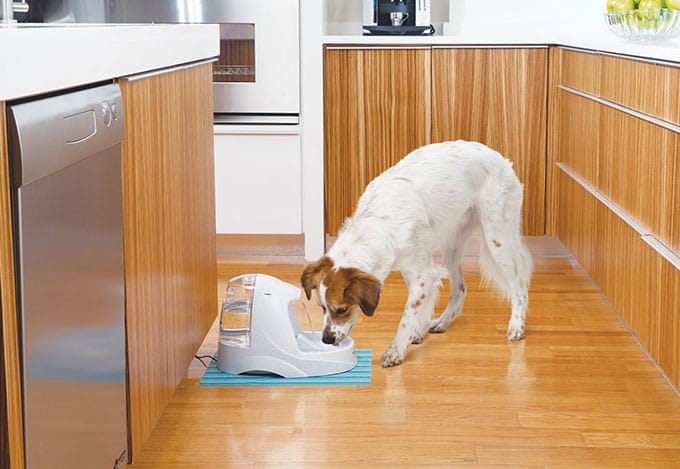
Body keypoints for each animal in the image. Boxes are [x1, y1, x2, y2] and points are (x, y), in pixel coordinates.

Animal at [302, 141, 532, 368]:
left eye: (341, 310)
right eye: (322, 308)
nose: (326, 340)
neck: (379, 222)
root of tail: (501, 158)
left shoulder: (423, 273)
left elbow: (407, 316)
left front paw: (395, 350)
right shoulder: (413, 270)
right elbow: (422, 306)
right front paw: (418, 332)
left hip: (498, 239)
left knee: (519, 285)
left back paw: (516, 326)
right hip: (451, 247)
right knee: (460, 289)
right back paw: (442, 322)